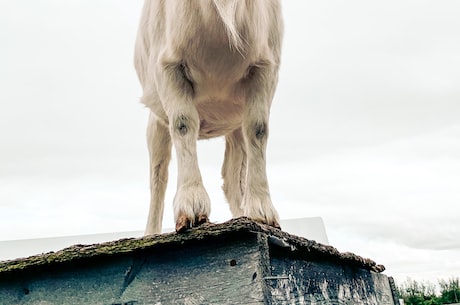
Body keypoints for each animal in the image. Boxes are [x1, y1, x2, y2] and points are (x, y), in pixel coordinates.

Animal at [135, 0, 282, 233]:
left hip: (235, 127)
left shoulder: (265, 68)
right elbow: (183, 124)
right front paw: (192, 205)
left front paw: (262, 212)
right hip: (156, 122)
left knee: (233, 176)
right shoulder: (168, 66)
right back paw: (151, 233)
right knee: (158, 177)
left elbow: (258, 129)